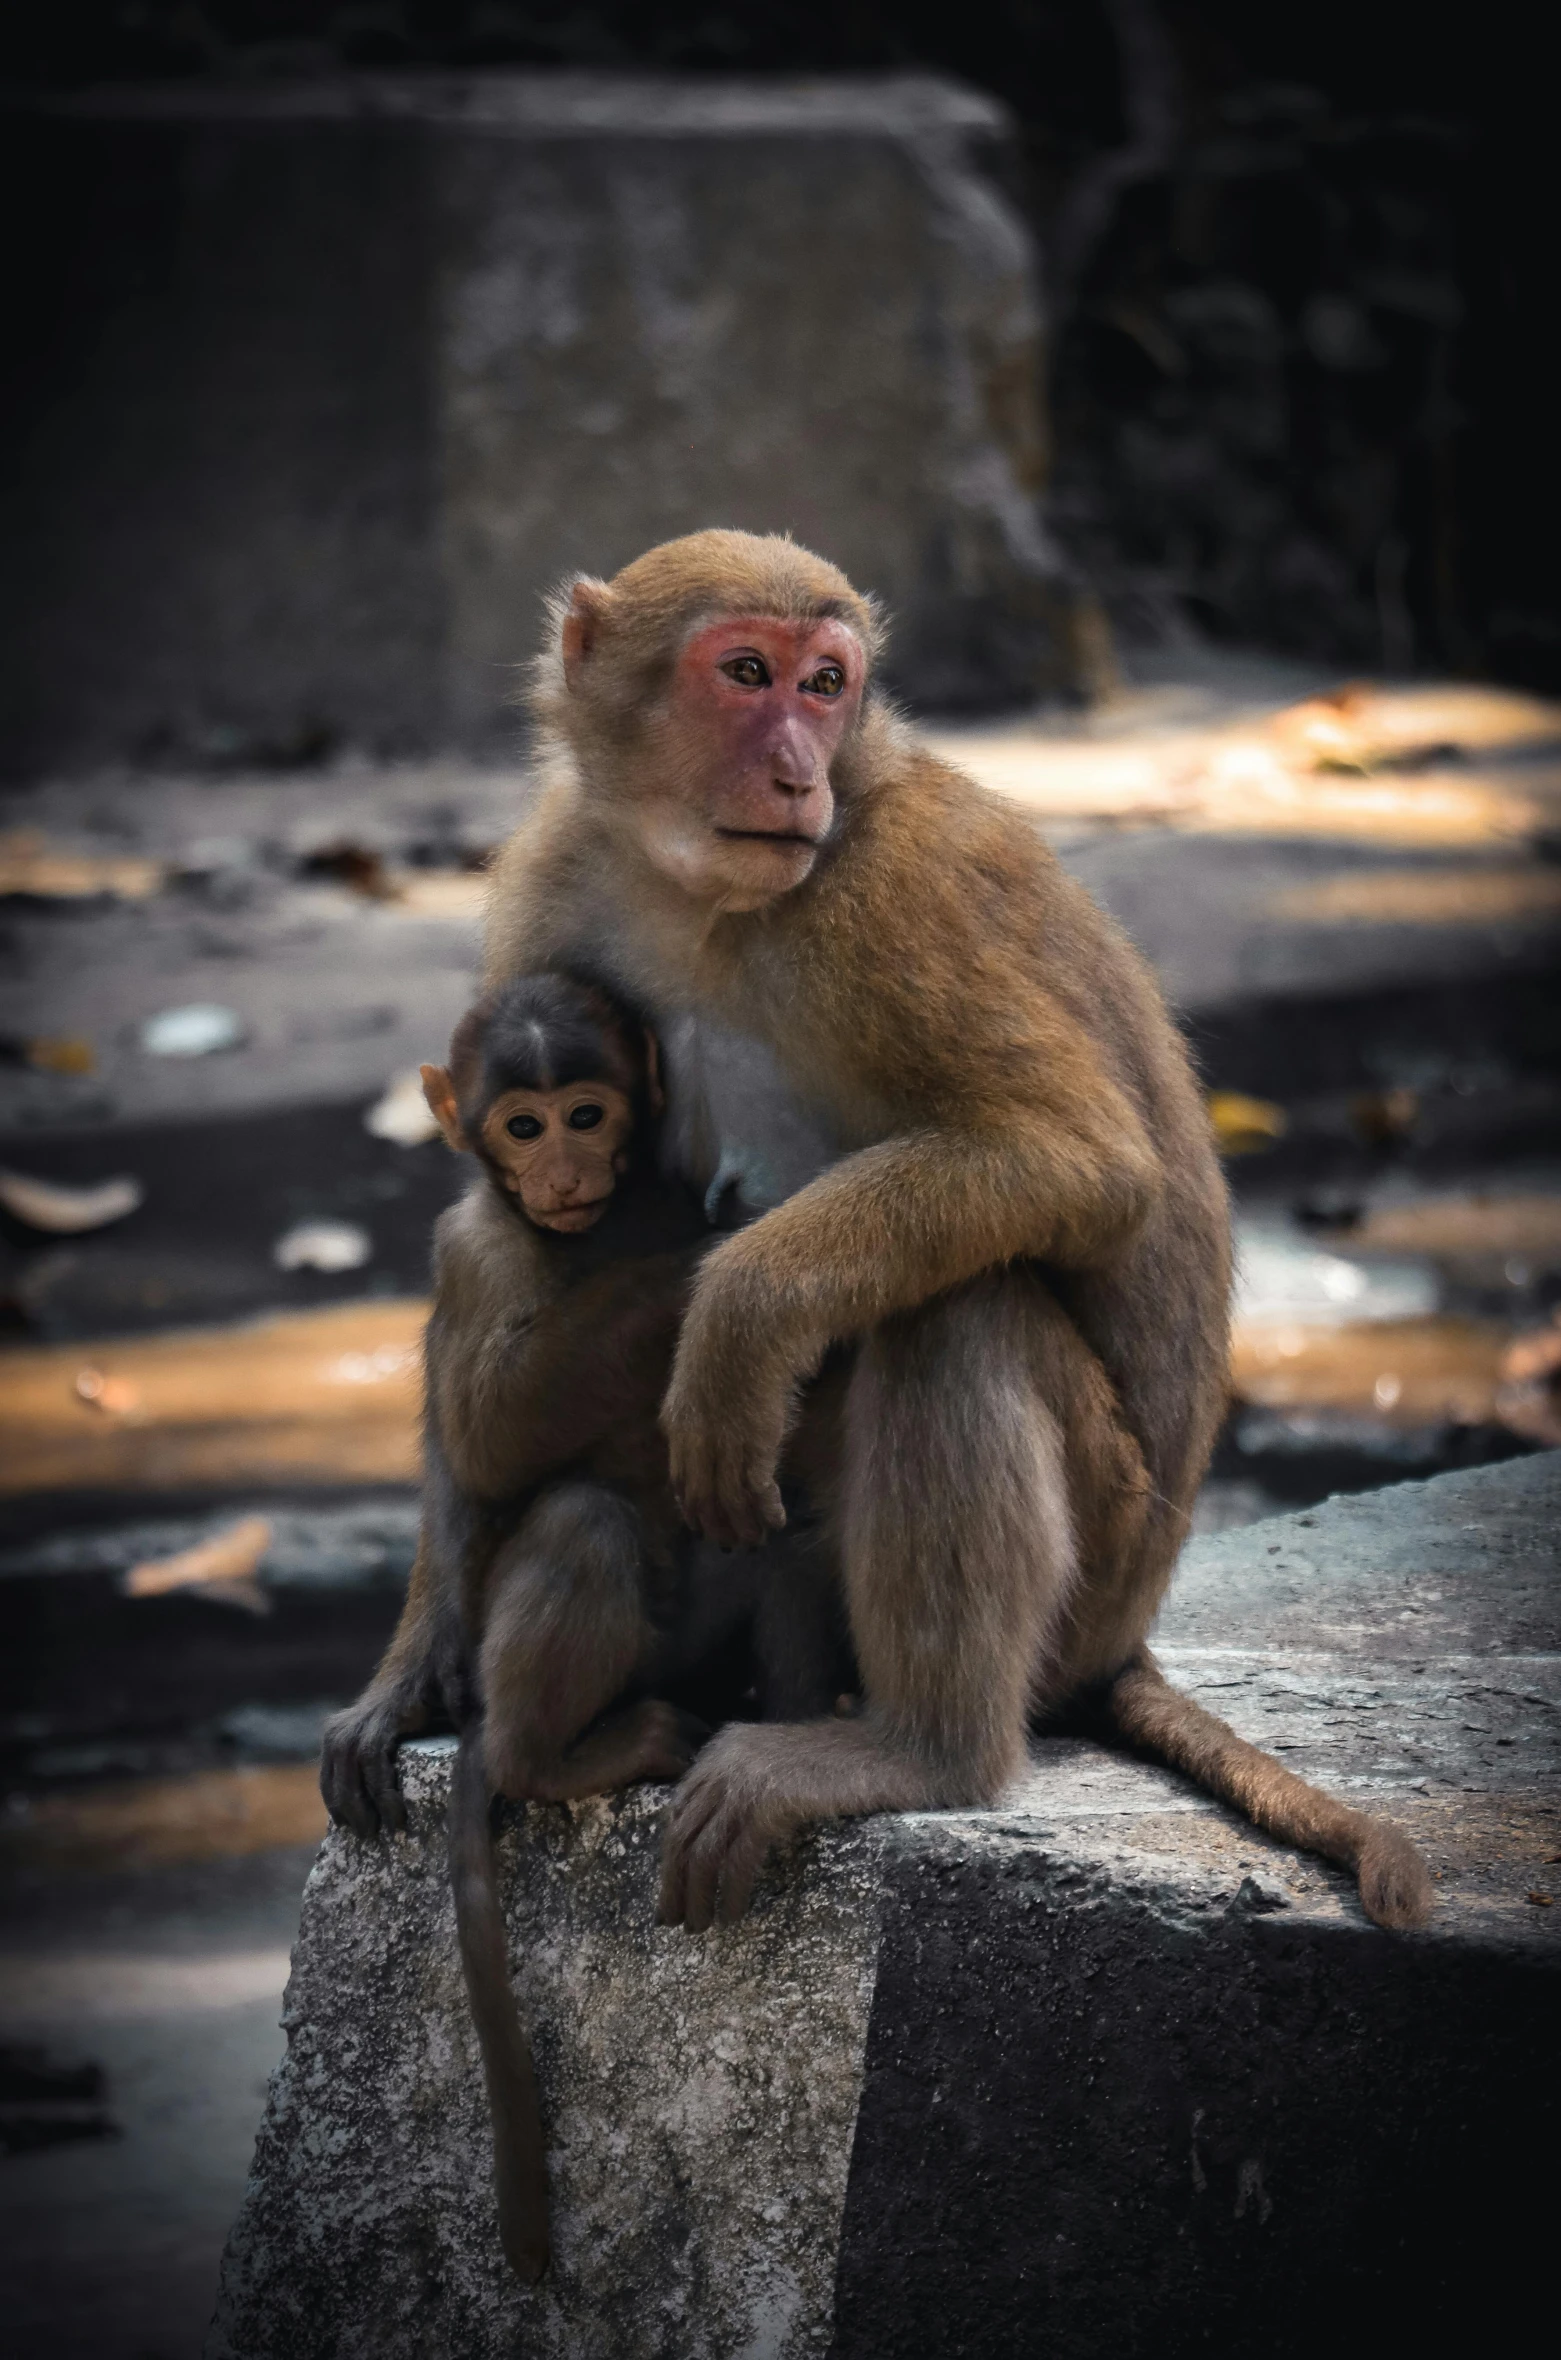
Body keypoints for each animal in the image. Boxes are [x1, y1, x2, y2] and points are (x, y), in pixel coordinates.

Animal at [335, 531, 1426, 1935]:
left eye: (826, 682)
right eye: (746, 672)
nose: (799, 770)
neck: (702, 898)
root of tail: (1129, 1632)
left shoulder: (891, 902)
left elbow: (1076, 1155)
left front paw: (738, 1311)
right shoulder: (554, 878)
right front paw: (409, 1672)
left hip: (1102, 1548)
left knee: (956, 1307)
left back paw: (923, 1750)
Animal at [408, 967, 840, 2275]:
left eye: (587, 1113)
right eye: (522, 1123)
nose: (560, 1168)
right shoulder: (473, 1246)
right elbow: (485, 1432)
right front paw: (710, 1251)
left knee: (777, 1540)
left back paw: (792, 1729)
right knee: (584, 1519)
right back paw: (550, 1755)